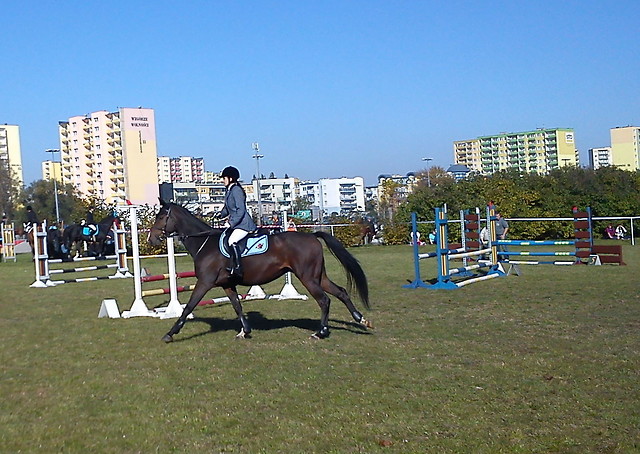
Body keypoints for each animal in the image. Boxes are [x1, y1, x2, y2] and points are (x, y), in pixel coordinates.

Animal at [148, 200, 372, 342]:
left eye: (161, 217)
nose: (152, 239)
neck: (205, 242)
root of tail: (312, 236)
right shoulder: (227, 284)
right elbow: (237, 306)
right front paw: (244, 331)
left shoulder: (205, 282)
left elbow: (188, 307)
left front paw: (170, 333)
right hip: (318, 276)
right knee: (340, 292)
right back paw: (360, 319)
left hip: (307, 277)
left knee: (324, 300)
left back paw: (321, 332)